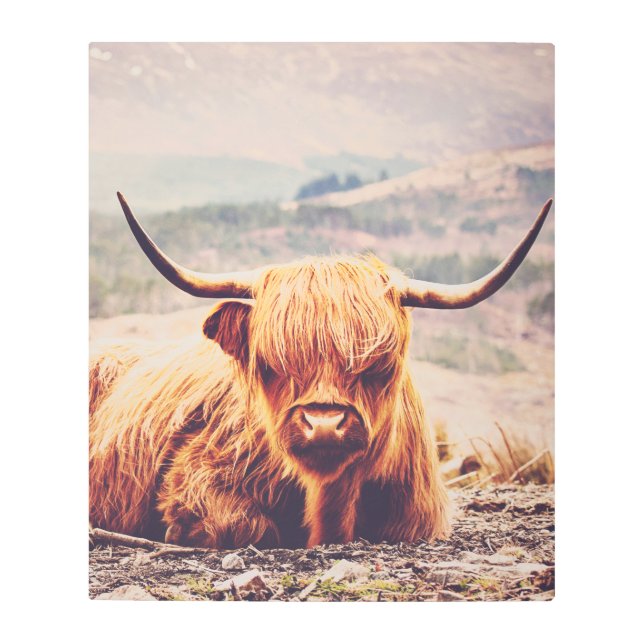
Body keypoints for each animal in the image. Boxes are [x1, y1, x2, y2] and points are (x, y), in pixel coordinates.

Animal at [89, 193, 552, 549]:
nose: (325, 425)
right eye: (270, 364)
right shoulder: (197, 476)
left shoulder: (420, 517)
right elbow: (245, 526)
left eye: (379, 363)